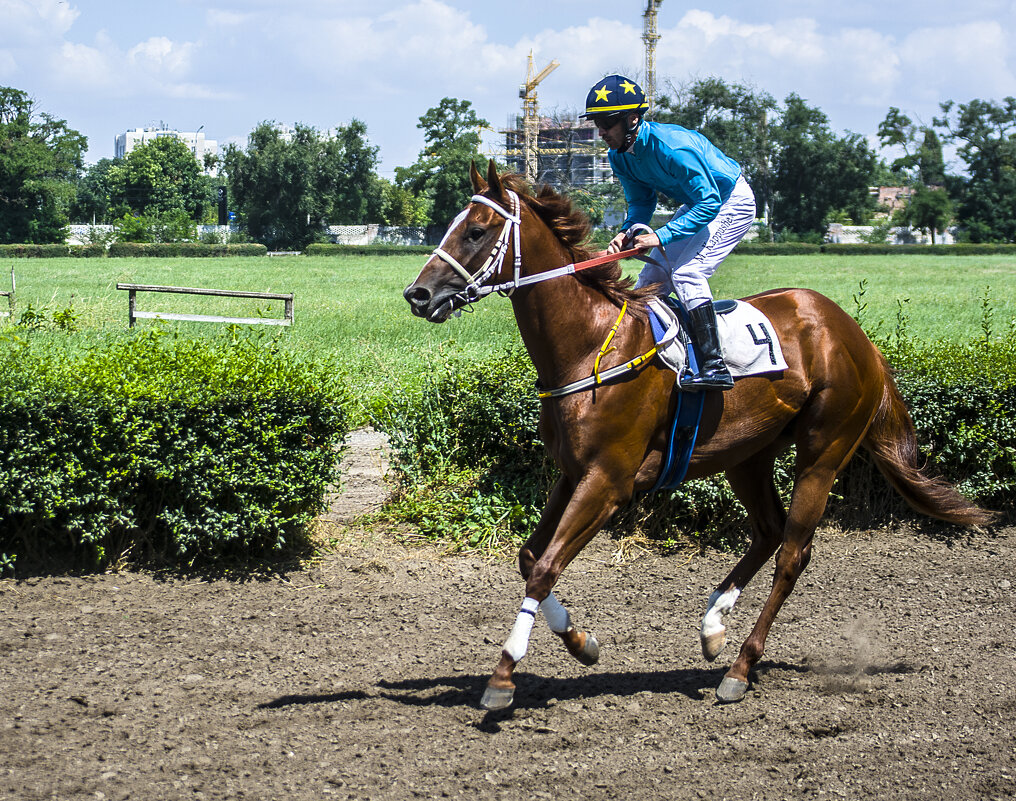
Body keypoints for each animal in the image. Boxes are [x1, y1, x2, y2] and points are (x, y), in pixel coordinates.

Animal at [402, 159, 991, 711]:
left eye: (476, 231)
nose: (417, 294)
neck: (590, 344)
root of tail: (855, 333)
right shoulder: (571, 473)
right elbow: (529, 558)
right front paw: (582, 642)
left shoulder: (608, 481)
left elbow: (545, 567)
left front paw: (503, 677)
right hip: (747, 455)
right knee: (768, 531)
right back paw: (713, 627)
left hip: (824, 453)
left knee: (791, 553)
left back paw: (740, 668)